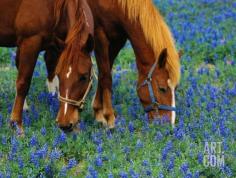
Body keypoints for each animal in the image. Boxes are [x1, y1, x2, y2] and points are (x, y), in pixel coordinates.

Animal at [0, 0, 94, 134]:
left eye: (84, 77)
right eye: (59, 75)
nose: (65, 124)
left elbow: (49, 65)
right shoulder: (30, 42)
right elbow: (23, 83)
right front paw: (16, 123)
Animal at [85, 0, 181, 128]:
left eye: (176, 88)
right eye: (162, 89)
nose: (169, 124)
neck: (116, 5)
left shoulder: (118, 38)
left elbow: (104, 71)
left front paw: (98, 112)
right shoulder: (99, 34)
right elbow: (106, 76)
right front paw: (109, 117)